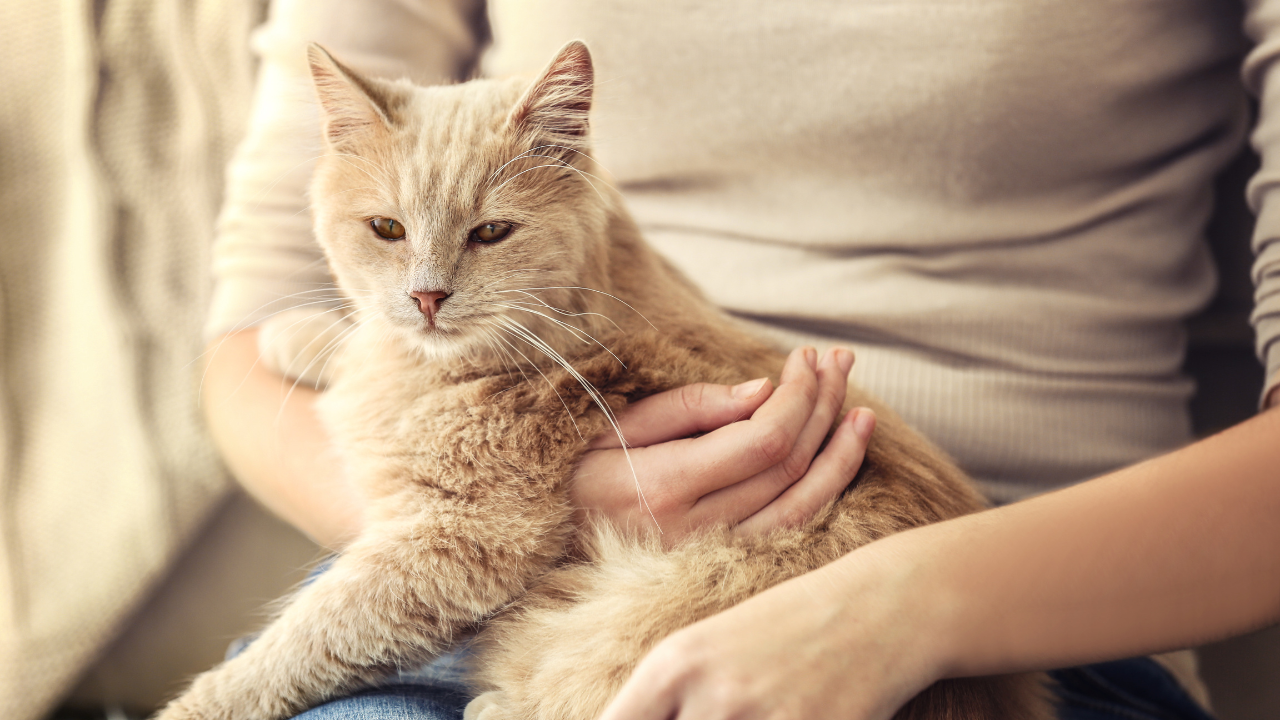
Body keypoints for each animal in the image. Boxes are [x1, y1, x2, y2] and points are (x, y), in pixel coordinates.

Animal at [160, 41, 1054, 717]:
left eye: (491, 233)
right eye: (386, 228)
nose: (426, 296)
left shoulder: (456, 542)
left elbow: (302, 642)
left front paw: (197, 705)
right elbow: (353, 342)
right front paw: (300, 335)